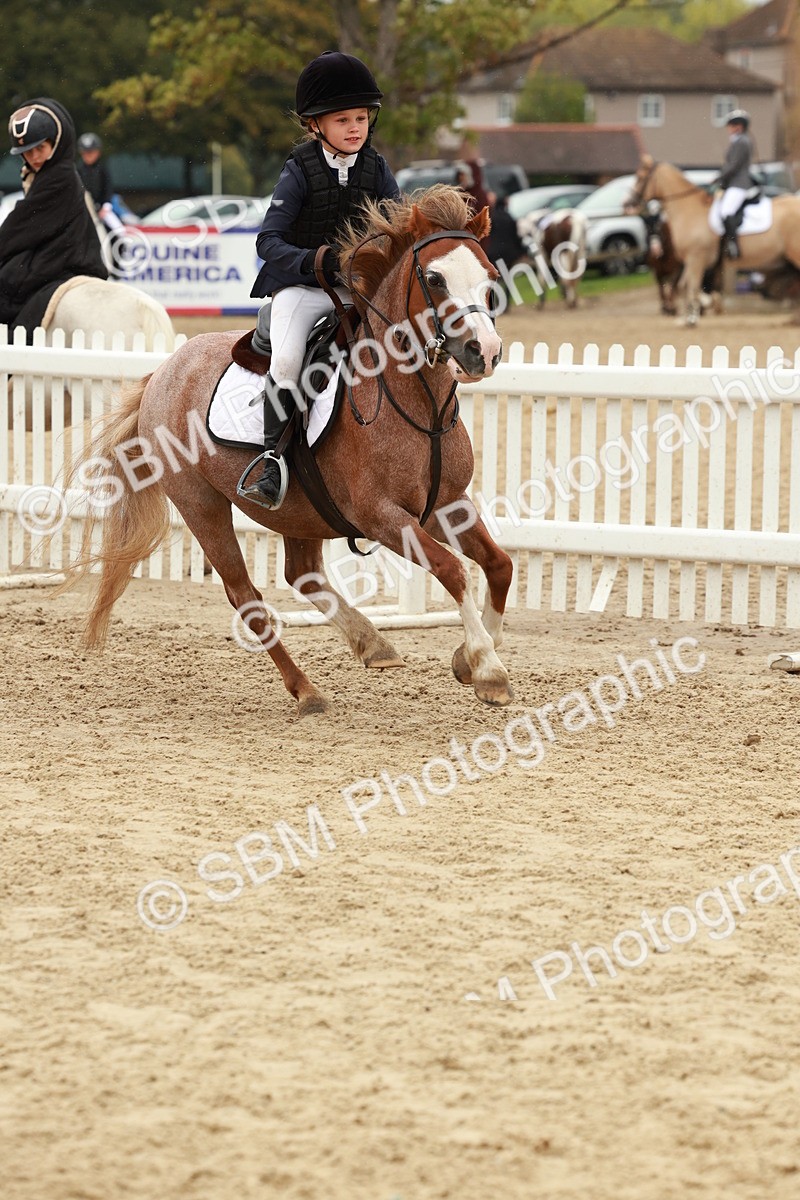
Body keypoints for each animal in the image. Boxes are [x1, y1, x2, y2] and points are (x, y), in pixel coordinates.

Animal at [62, 186, 514, 717]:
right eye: (436, 279)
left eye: (490, 280)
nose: (483, 352)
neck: (412, 396)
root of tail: (164, 371)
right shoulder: (381, 515)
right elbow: (454, 570)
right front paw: (486, 668)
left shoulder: (447, 503)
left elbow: (500, 565)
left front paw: (470, 657)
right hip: (201, 504)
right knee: (246, 595)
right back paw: (306, 689)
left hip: (301, 510)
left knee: (303, 575)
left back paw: (372, 644)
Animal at [628, 154, 800, 324]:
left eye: (640, 177)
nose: (629, 203)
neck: (689, 210)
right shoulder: (691, 262)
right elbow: (685, 285)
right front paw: (691, 315)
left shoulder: (696, 258)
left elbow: (693, 286)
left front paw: (693, 317)